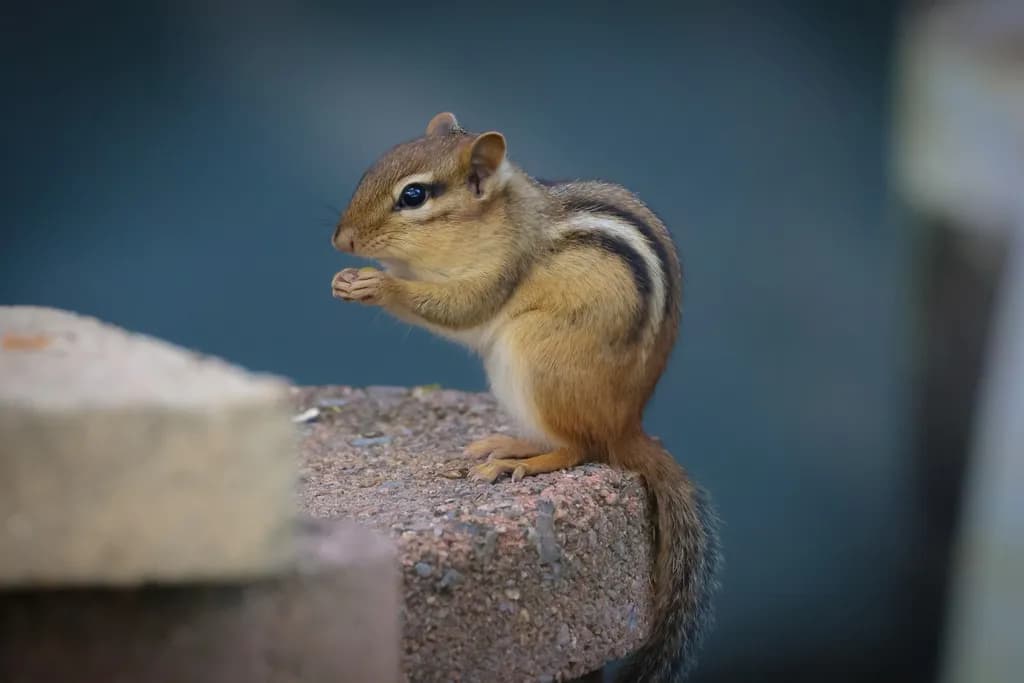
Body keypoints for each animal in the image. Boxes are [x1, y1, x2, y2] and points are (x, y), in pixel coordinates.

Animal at [330, 112, 720, 682]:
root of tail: (628, 426)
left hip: (534, 356)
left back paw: (523, 464)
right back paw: (509, 444)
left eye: (414, 195)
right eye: (372, 171)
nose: (342, 240)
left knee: (581, 449)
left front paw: (379, 286)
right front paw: (347, 280)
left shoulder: (500, 271)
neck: (495, 218)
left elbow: (460, 308)